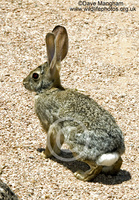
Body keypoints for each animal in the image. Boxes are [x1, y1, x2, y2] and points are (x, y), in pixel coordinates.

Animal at [22, 25, 125, 181]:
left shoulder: (51, 125)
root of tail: (112, 150)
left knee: (96, 166)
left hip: (76, 143)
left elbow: (51, 142)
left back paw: (81, 175)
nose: (23, 83)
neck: (49, 89)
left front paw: (44, 155)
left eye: (35, 76)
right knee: (119, 161)